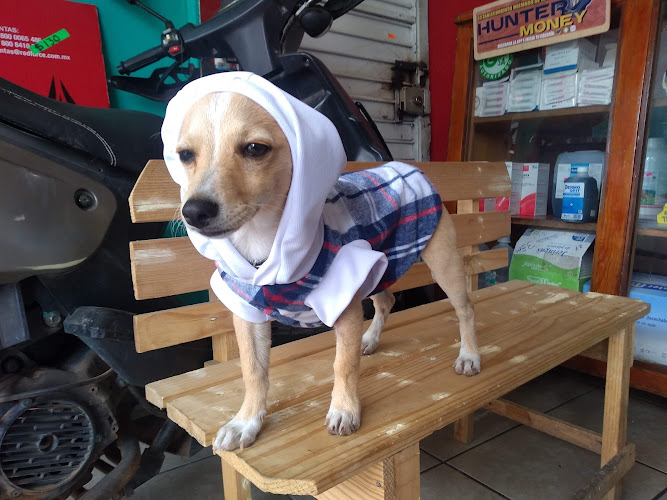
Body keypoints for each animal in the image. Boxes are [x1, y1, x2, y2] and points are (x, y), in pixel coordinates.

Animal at [175, 92, 478, 452]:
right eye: (185, 155)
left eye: (254, 149)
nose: (194, 211)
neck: (264, 240)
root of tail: (407, 167)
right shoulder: (247, 312)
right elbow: (253, 370)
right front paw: (246, 421)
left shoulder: (344, 303)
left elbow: (343, 364)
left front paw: (344, 409)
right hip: (378, 264)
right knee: (386, 301)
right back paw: (370, 339)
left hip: (442, 262)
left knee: (465, 309)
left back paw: (470, 355)